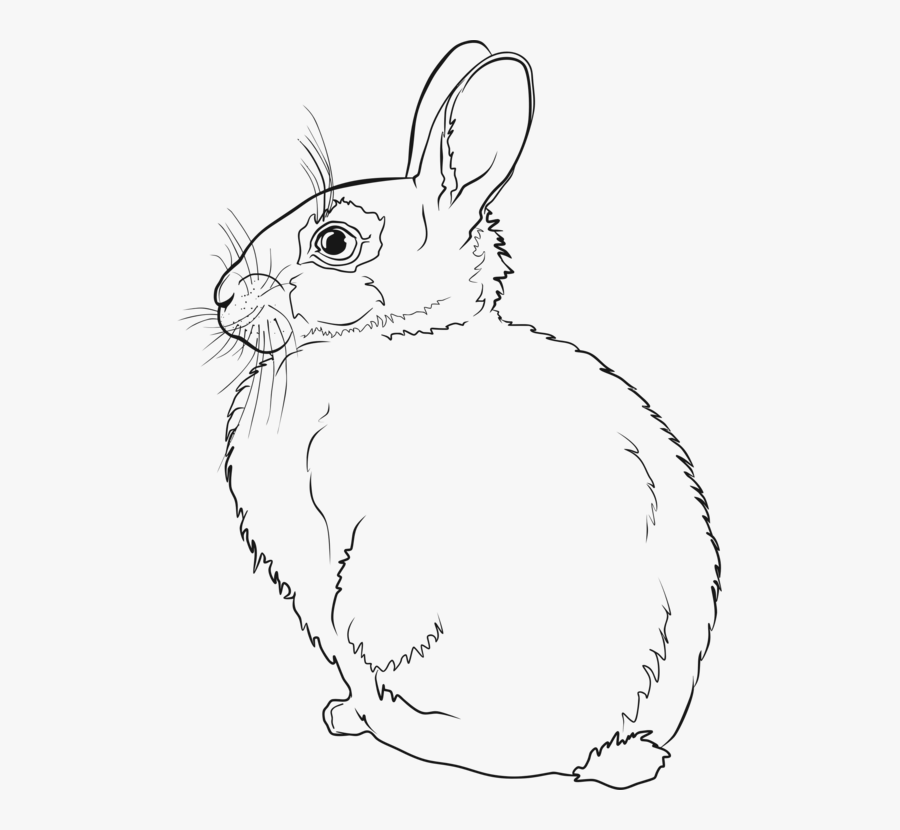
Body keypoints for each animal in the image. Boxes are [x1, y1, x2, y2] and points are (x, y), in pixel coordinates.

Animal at [204, 41, 721, 789]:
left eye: (334, 242)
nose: (222, 297)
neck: (386, 341)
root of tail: (598, 748)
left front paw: (369, 639)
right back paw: (357, 714)